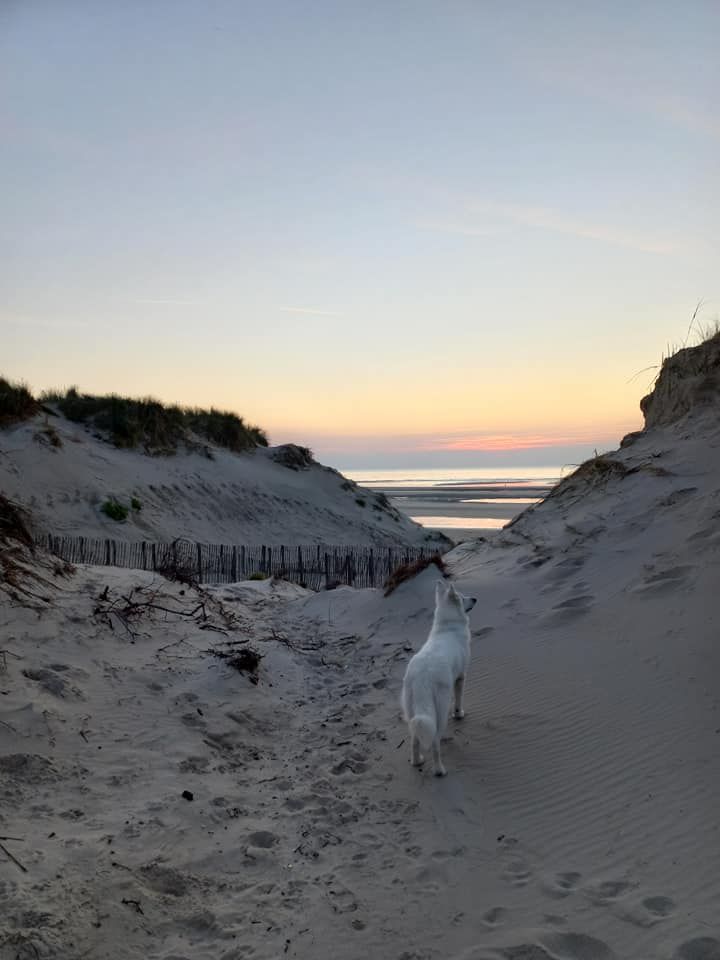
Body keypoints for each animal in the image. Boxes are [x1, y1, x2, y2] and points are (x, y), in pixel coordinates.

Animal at [401, 579, 477, 776]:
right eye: (463, 598)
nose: (475, 598)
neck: (448, 625)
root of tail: (422, 677)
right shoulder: (461, 678)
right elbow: (459, 700)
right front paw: (459, 714)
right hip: (440, 711)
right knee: (435, 743)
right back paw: (439, 770)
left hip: (412, 711)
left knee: (414, 740)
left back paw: (417, 762)